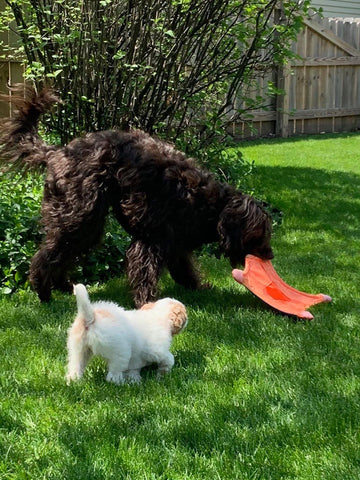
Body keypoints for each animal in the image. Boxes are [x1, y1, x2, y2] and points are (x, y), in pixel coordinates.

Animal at [0, 86, 272, 306]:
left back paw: (64, 286)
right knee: (47, 255)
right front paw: (146, 303)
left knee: (62, 253)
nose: (270, 255)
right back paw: (43, 292)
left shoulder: (175, 242)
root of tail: (56, 152)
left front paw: (197, 287)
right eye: (259, 234)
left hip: (84, 224)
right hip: (79, 218)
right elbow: (145, 271)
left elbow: (183, 268)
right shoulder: (153, 238)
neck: (211, 206)